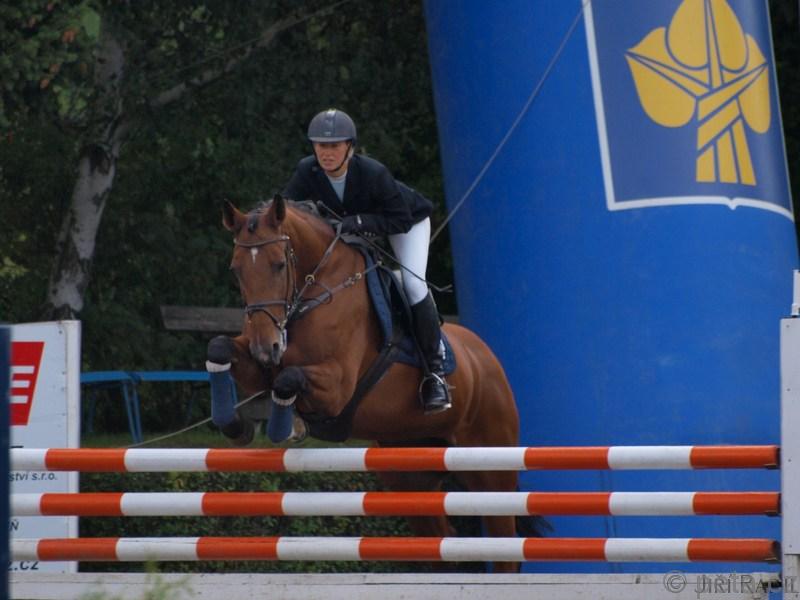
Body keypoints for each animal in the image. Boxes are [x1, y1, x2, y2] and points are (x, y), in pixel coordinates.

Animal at [207, 195, 535, 572]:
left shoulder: (336, 386)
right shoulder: (261, 367)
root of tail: (488, 359)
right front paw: (235, 426)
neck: (314, 290)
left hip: (491, 467)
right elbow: (219, 348)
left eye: (278, 265)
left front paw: (284, 428)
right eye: (236, 269)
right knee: (441, 542)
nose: (266, 348)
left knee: (505, 541)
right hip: (411, 477)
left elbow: (290, 378)